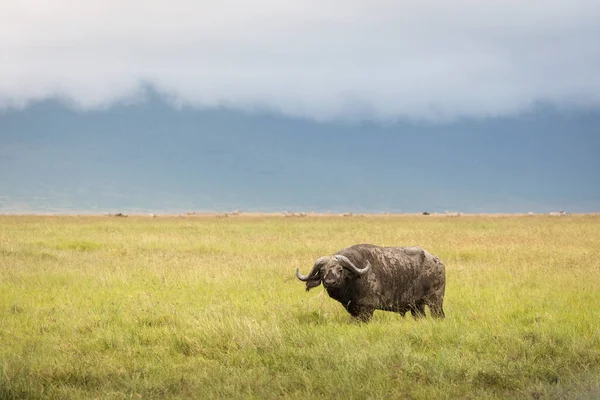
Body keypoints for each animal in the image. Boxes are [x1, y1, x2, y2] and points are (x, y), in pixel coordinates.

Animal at [296, 244, 446, 322]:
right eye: (322, 271)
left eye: (340, 269)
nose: (329, 282)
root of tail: (438, 262)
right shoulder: (353, 311)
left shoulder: (367, 309)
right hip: (417, 307)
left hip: (435, 302)